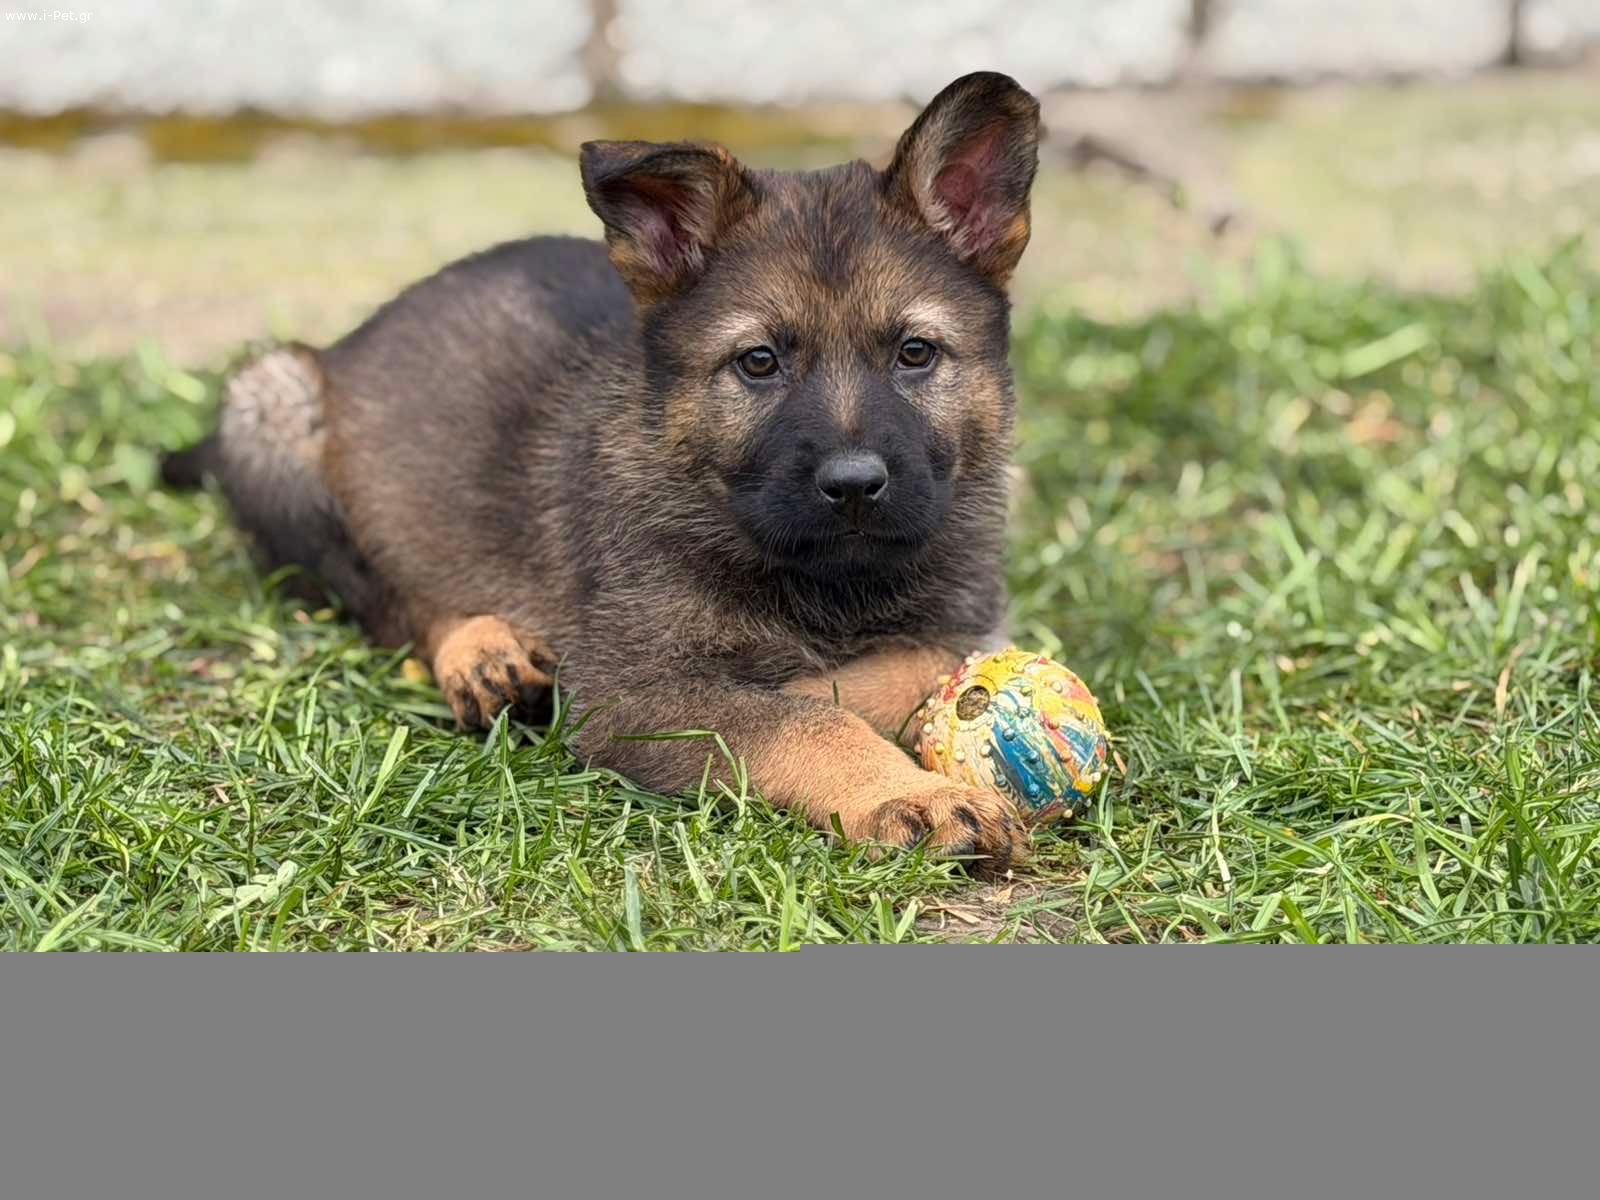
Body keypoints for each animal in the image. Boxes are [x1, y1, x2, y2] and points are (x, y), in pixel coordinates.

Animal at [163, 71, 1041, 874]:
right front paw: (910, 792)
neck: (827, 577)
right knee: (390, 598)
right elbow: (801, 719)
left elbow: (919, 666)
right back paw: (481, 651)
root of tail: (351, 340)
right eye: (758, 362)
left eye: (916, 353)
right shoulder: (636, 685)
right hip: (271, 411)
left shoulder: (967, 616)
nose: (856, 485)